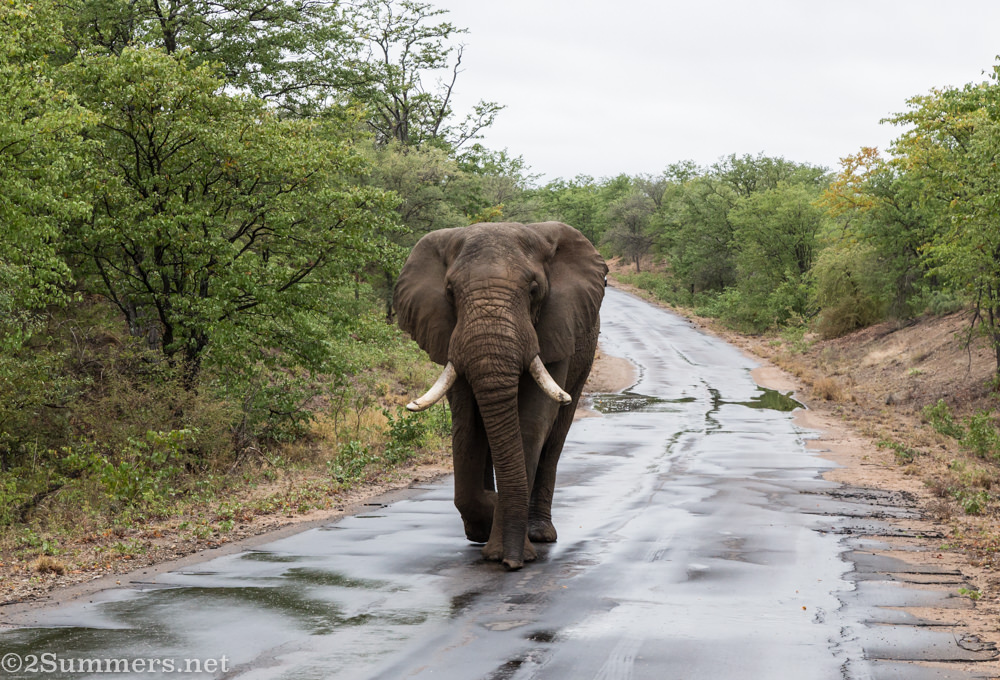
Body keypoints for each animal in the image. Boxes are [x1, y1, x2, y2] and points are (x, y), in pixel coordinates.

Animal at [394, 221, 607, 570]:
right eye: (450, 292)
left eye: (533, 290)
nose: (512, 564)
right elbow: (467, 423)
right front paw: (490, 520)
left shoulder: (555, 327)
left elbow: (531, 422)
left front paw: (506, 551)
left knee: (555, 437)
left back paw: (539, 533)